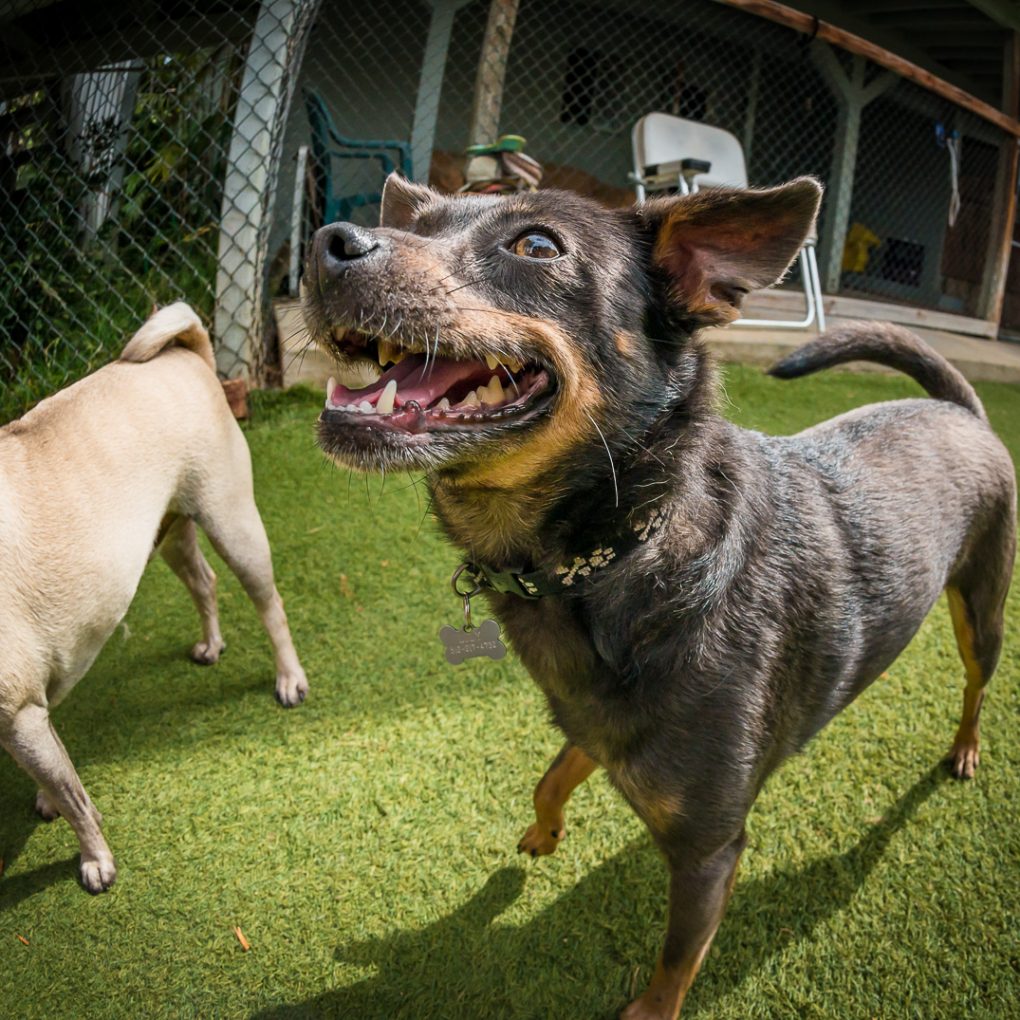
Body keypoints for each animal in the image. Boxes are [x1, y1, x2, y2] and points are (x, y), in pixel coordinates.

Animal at [0, 304, 308, 893]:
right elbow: (63, 775)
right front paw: (52, 802)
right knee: (204, 581)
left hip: (232, 522)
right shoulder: (28, 718)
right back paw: (212, 645)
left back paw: (289, 678)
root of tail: (186, 355)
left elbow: (75, 799)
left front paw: (94, 859)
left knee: (269, 604)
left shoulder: (19, 714)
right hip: (171, 534)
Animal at [302, 173, 1015, 1018]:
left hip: (983, 609)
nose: (327, 243)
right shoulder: (594, 720)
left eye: (536, 244)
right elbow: (553, 772)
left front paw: (650, 1008)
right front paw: (544, 831)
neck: (615, 555)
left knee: (976, 683)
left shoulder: (710, 850)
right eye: (421, 221)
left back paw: (965, 748)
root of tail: (960, 407)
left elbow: (677, 957)